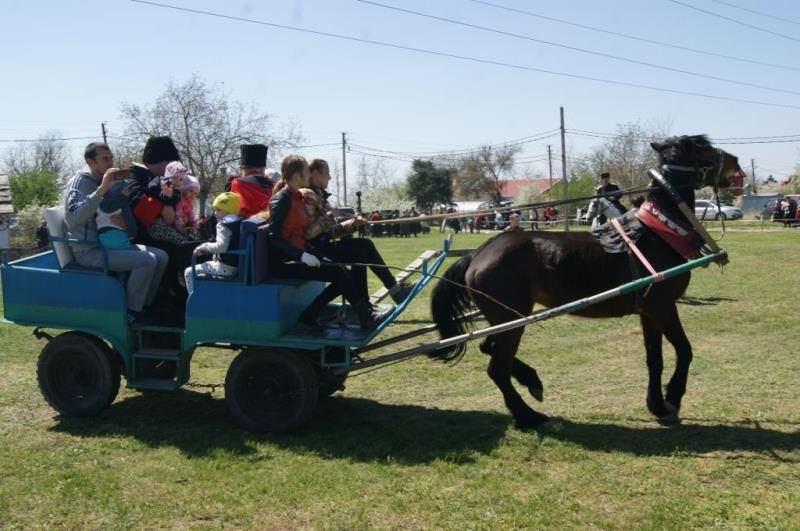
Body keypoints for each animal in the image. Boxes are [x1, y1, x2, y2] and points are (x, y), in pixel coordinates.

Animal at [430, 135, 741, 429]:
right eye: (700, 148)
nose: (737, 166)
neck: (658, 231)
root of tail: (477, 254)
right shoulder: (663, 306)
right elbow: (684, 351)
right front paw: (673, 399)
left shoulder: (648, 311)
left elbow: (654, 358)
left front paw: (657, 405)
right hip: (511, 321)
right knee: (497, 368)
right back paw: (528, 416)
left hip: (507, 319)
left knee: (490, 350)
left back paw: (532, 382)